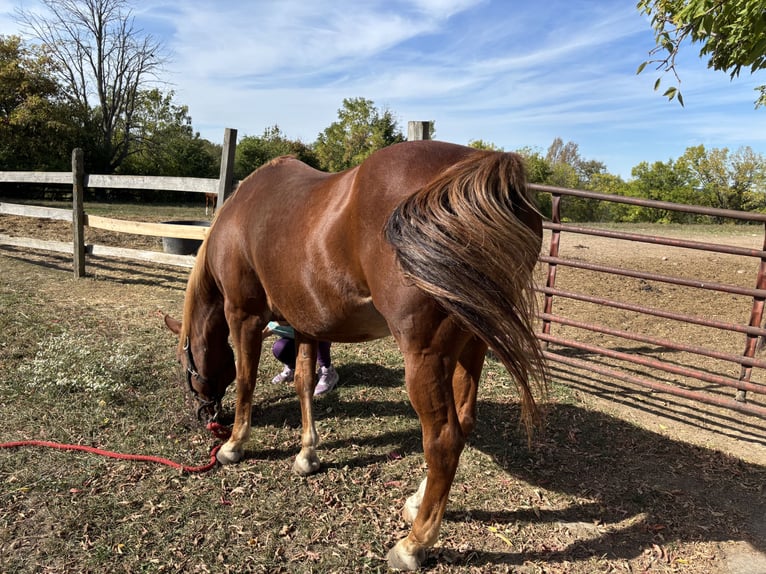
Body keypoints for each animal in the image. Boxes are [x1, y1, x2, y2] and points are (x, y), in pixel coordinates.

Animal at [164, 139, 547, 570]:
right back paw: (416, 503)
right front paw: (307, 454)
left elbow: (247, 380)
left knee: (444, 439)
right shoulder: (305, 323)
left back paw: (413, 544)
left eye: (186, 365)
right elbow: (303, 383)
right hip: (471, 346)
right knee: (462, 423)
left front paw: (233, 445)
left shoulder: (243, 314)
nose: (206, 417)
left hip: (426, 356)